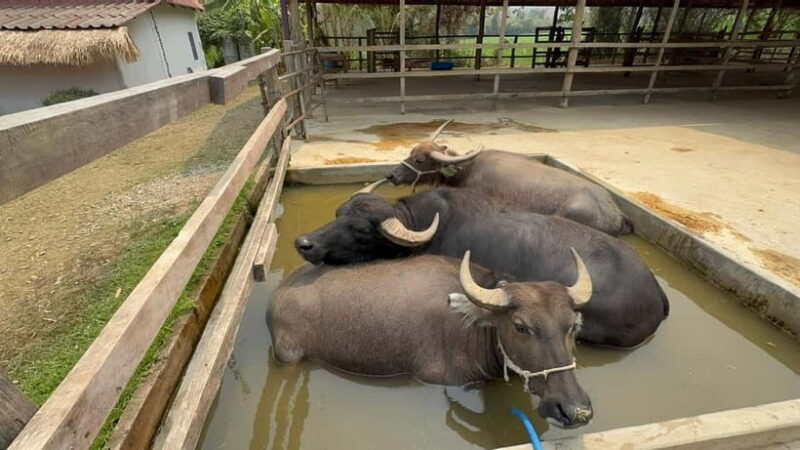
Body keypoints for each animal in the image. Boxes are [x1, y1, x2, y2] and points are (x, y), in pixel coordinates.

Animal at [268, 252, 594, 428]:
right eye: (520, 326)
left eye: (573, 325)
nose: (574, 410)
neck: (472, 329)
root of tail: (279, 294)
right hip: (287, 358)